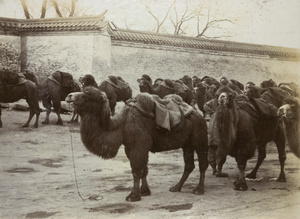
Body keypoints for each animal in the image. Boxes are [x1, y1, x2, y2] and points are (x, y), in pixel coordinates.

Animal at [65, 86, 209, 202]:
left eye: (86, 96)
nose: (69, 96)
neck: (120, 124)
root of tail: (199, 115)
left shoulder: (139, 146)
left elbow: (136, 171)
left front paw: (133, 196)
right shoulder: (131, 147)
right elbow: (143, 169)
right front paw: (145, 191)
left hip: (200, 136)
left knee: (203, 163)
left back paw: (199, 189)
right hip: (187, 144)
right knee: (189, 165)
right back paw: (176, 187)